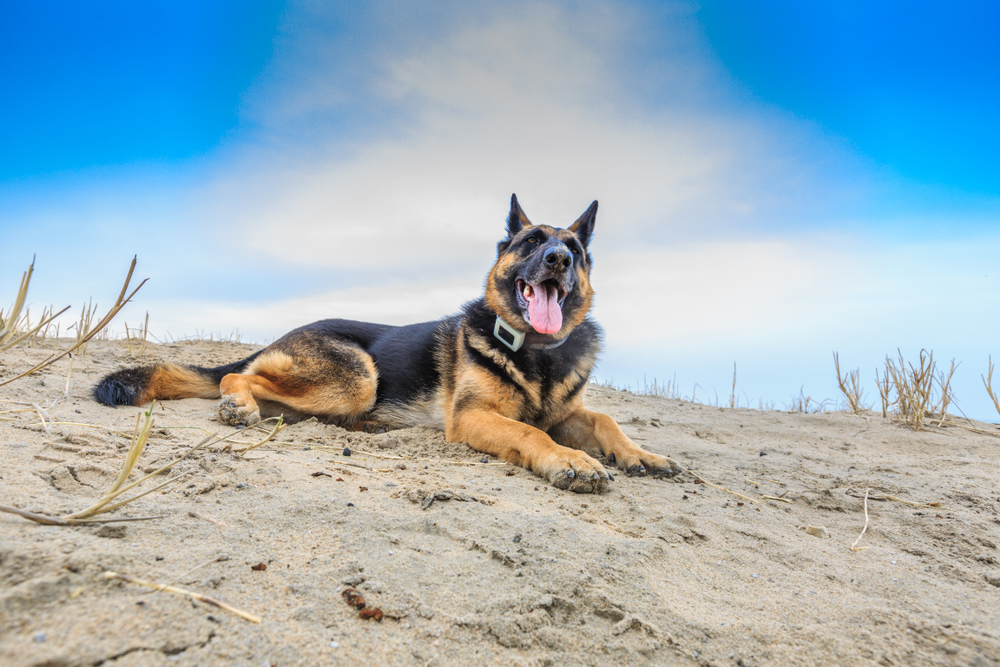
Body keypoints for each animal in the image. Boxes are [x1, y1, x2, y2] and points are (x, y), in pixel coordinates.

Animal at [95, 196, 680, 494]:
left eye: (574, 249)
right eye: (533, 242)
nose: (558, 258)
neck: (538, 351)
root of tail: (281, 335)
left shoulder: (568, 412)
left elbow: (604, 419)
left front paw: (641, 454)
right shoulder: (473, 418)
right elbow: (528, 432)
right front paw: (571, 461)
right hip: (355, 376)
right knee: (240, 375)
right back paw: (238, 402)